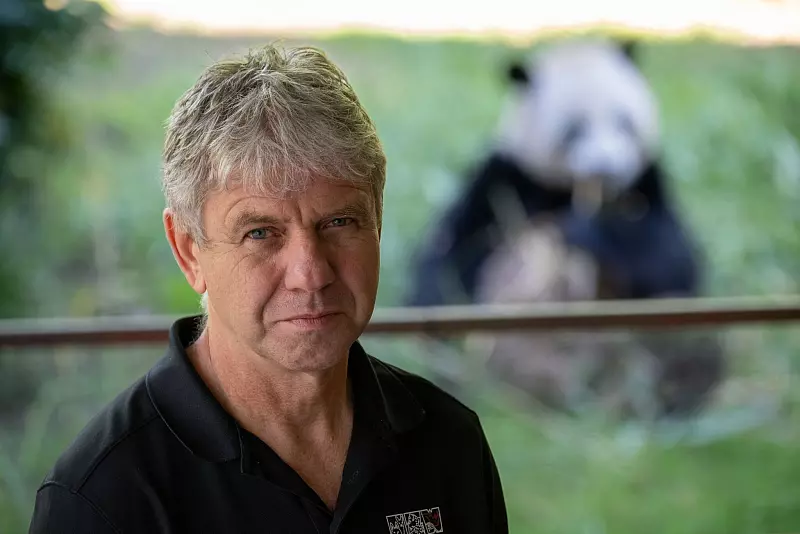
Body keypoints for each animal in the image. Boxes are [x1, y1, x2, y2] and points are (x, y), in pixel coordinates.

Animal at [405, 36, 725, 419]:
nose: (606, 169)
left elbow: (669, 260)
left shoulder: (648, 184)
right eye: (574, 130)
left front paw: (584, 230)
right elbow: (453, 251)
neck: (573, 190)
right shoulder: (506, 178)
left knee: (688, 339)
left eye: (624, 122)